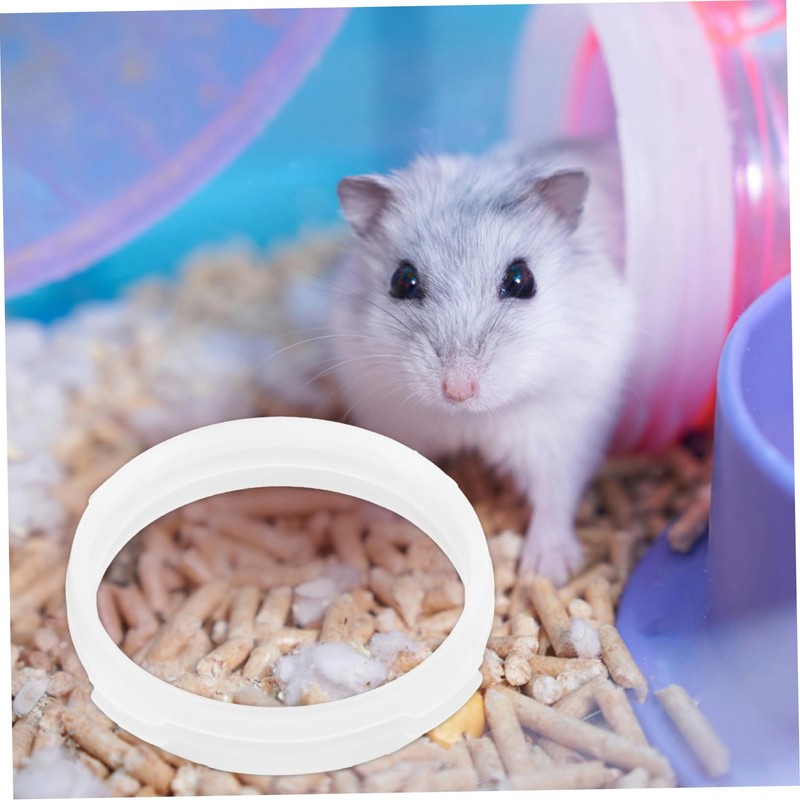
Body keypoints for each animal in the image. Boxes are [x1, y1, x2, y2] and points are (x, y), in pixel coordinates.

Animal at [329, 139, 637, 585]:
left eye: (521, 279)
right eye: (402, 280)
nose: (458, 390)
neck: (468, 418)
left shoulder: (563, 431)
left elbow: (554, 494)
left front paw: (546, 571)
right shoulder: (390, 416)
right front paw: (373, 521)